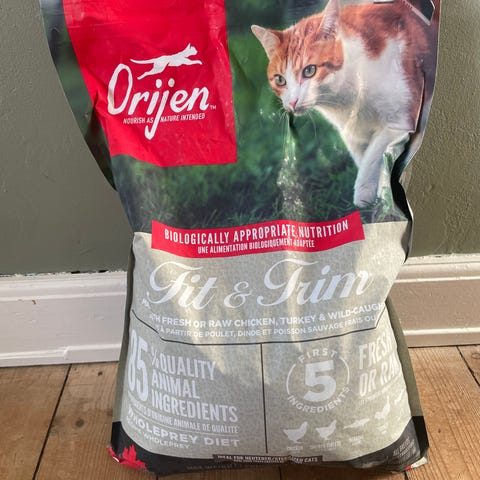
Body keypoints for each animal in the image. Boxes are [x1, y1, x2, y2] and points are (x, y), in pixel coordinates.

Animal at [252, 0, 438, 207]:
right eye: (280, 80)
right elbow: (365, 157)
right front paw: (376, 194)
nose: (292, 102)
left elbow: (373, 154)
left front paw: (367, 192)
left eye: (309, 70)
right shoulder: (350, 132)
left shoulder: (401, 120)